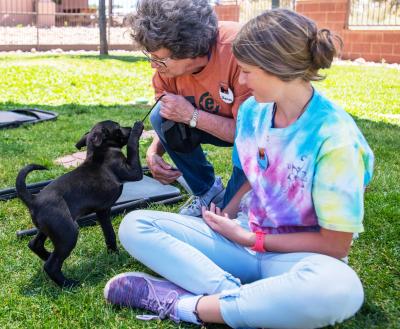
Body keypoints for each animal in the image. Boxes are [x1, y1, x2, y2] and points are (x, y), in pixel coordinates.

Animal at [16, 119, 144, 286]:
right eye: (118, 127)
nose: (129, 127)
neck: (101, 150)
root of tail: (33, 199)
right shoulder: (133, 172)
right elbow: (132, 146)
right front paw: (137, 128)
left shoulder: (103, 211)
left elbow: (109, 234)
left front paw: (114, 254)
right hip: (68, 232)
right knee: (51, 265)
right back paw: (69, 284)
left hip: (50, 229)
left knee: (35, 245)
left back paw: (49, 256)